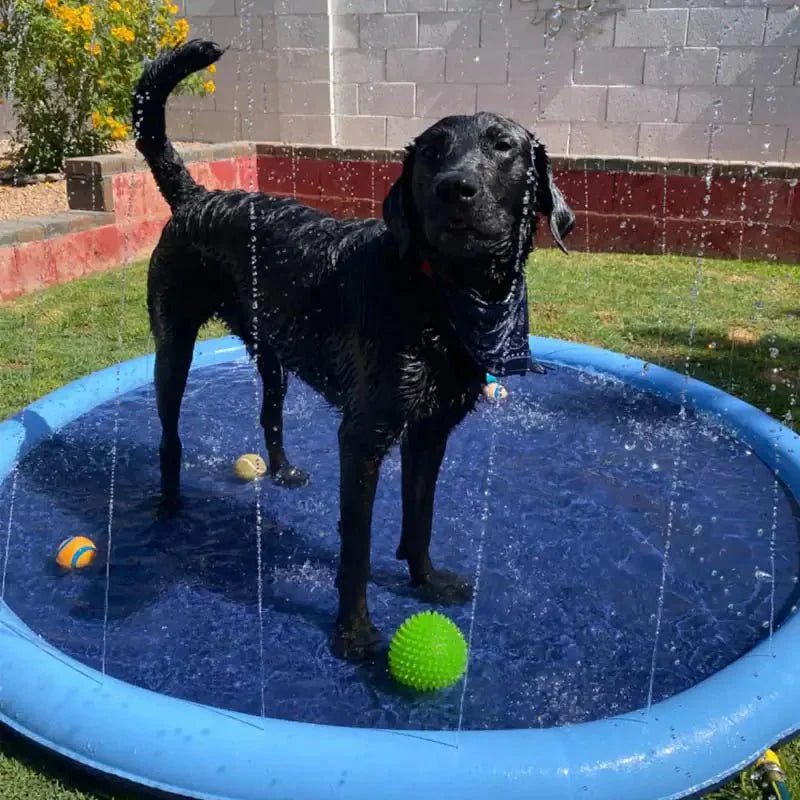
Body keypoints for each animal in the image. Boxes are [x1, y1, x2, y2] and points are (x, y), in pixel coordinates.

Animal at [133, 40, 576, 660]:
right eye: (433, 153)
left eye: (502, 146)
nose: (454, 189)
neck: (436, 294)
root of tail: (199, 196)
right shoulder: (363, 437)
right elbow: (357, 549)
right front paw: (354, 633)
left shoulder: (431, 430)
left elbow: (420, 514)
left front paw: (426, 581)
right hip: (173, 346)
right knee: (169, 433)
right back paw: (169, 506)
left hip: (272, 351)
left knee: (269, 411)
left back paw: (283, 471)